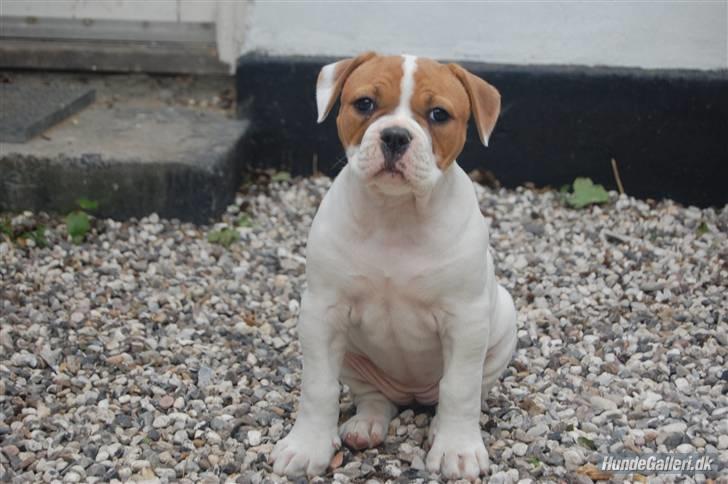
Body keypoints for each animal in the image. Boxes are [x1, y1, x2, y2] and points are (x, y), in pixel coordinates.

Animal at [272, 51, 516, 482]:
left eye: (438, 114)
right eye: (365, 104)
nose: (396, 136)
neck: (395, 212)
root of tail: (411, 393)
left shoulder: (465, 320)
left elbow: (460, 388)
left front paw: (457, 451)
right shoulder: (322, 313)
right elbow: (318, 386)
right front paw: (306, 447)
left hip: (501, 326)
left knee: (465, 389)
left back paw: (439, 427)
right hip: (353, 359)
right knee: (373, 397)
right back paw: (365, 425)